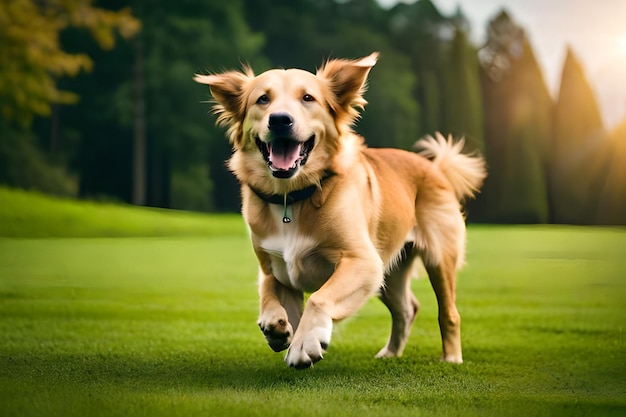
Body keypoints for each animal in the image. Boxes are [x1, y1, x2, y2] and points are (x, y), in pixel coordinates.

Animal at [193, 52, 486, 368]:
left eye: (308, 98)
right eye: (262, 99)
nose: (280, 120)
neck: (292, 198)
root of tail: (434, 167)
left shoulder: (362, 260)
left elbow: (319, 298)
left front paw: (305, 343)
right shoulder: (276, 268)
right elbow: (267, 295)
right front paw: (276, 328)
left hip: (437, 258)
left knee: (449, 313)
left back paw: (451, 358)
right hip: (388, 272)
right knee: (407, 308)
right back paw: (390, 353)